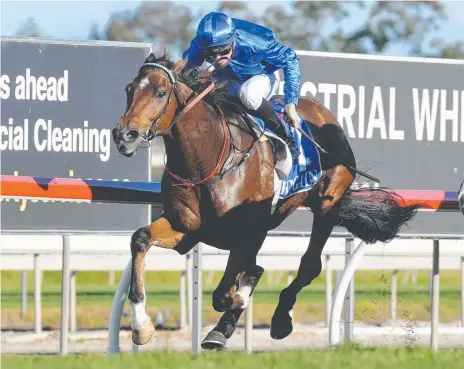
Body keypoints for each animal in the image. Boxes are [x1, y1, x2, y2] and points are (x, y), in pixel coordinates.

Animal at [112, 51, 420, 348]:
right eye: (128, 90)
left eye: (160, 93)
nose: (124, 135)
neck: (207, 159)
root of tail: (324, 114)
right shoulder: (186, 228)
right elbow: (140, 239)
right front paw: (141, 327)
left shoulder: (249, 233)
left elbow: (225, 294)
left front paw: (236, 306)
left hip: (326, 205)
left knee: (309, 265)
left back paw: (279, 319)